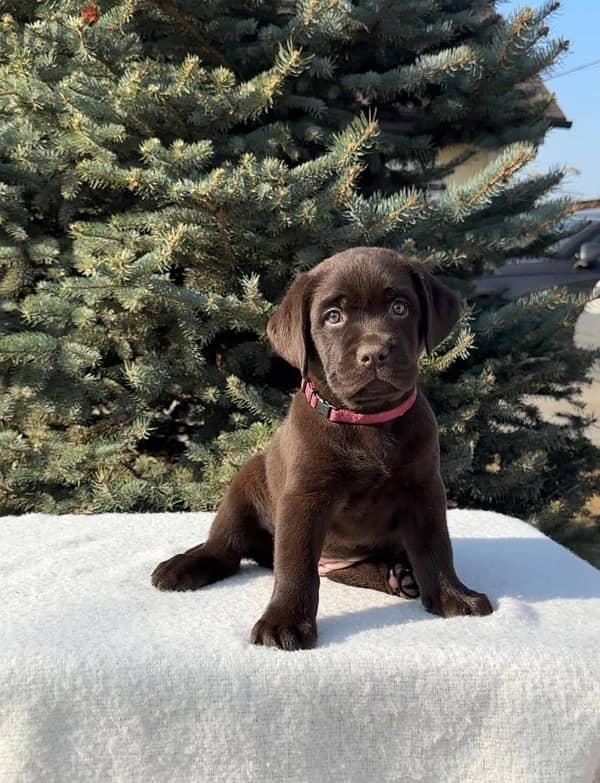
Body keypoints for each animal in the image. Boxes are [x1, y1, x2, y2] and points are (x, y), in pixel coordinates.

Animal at [151, 250, 492, 648]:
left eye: (399, 307)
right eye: (333, 316)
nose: (374, 354)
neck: (366, 421)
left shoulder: (424, 489)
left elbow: (436, 547)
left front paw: (453, 596)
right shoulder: (305, 497)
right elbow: (296, 565)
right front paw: (284, 621)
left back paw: (400, 576)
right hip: (243, 487)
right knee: (226, 548)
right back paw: (182, 565)